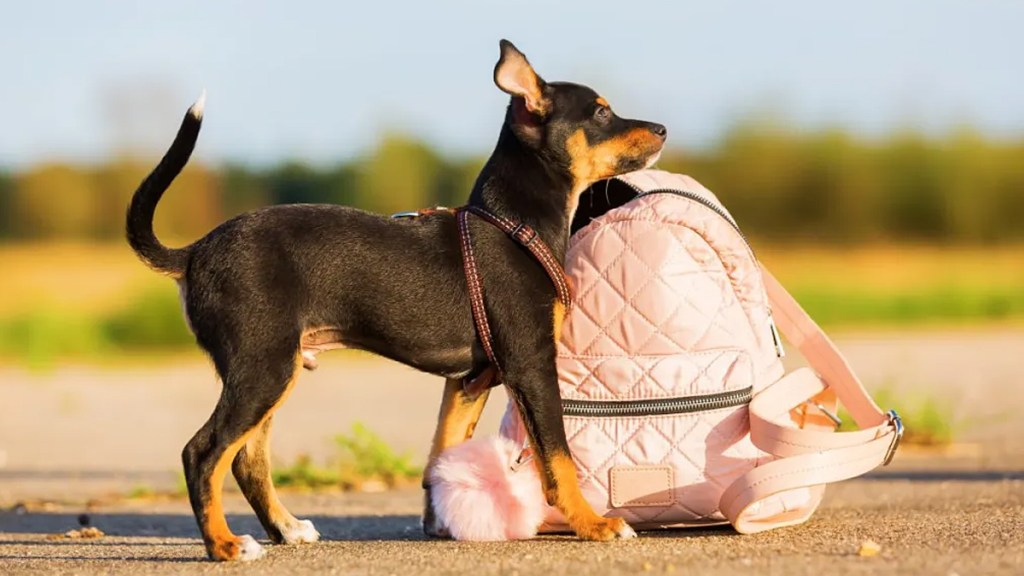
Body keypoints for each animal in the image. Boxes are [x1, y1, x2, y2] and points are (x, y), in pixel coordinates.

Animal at [125, 41, 663, 561]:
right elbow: (558, 456)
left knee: (246, 457)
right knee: (203, 453)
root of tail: (195, 252)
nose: (661, 128)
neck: (514, 224)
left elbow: (442, 452)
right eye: (601, 112)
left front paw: (442, 520)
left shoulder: (470, 379)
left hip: (270, 370)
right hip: (263, 367)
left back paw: (285, 529)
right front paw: (593, 524)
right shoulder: (530, 364)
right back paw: (224, 545)